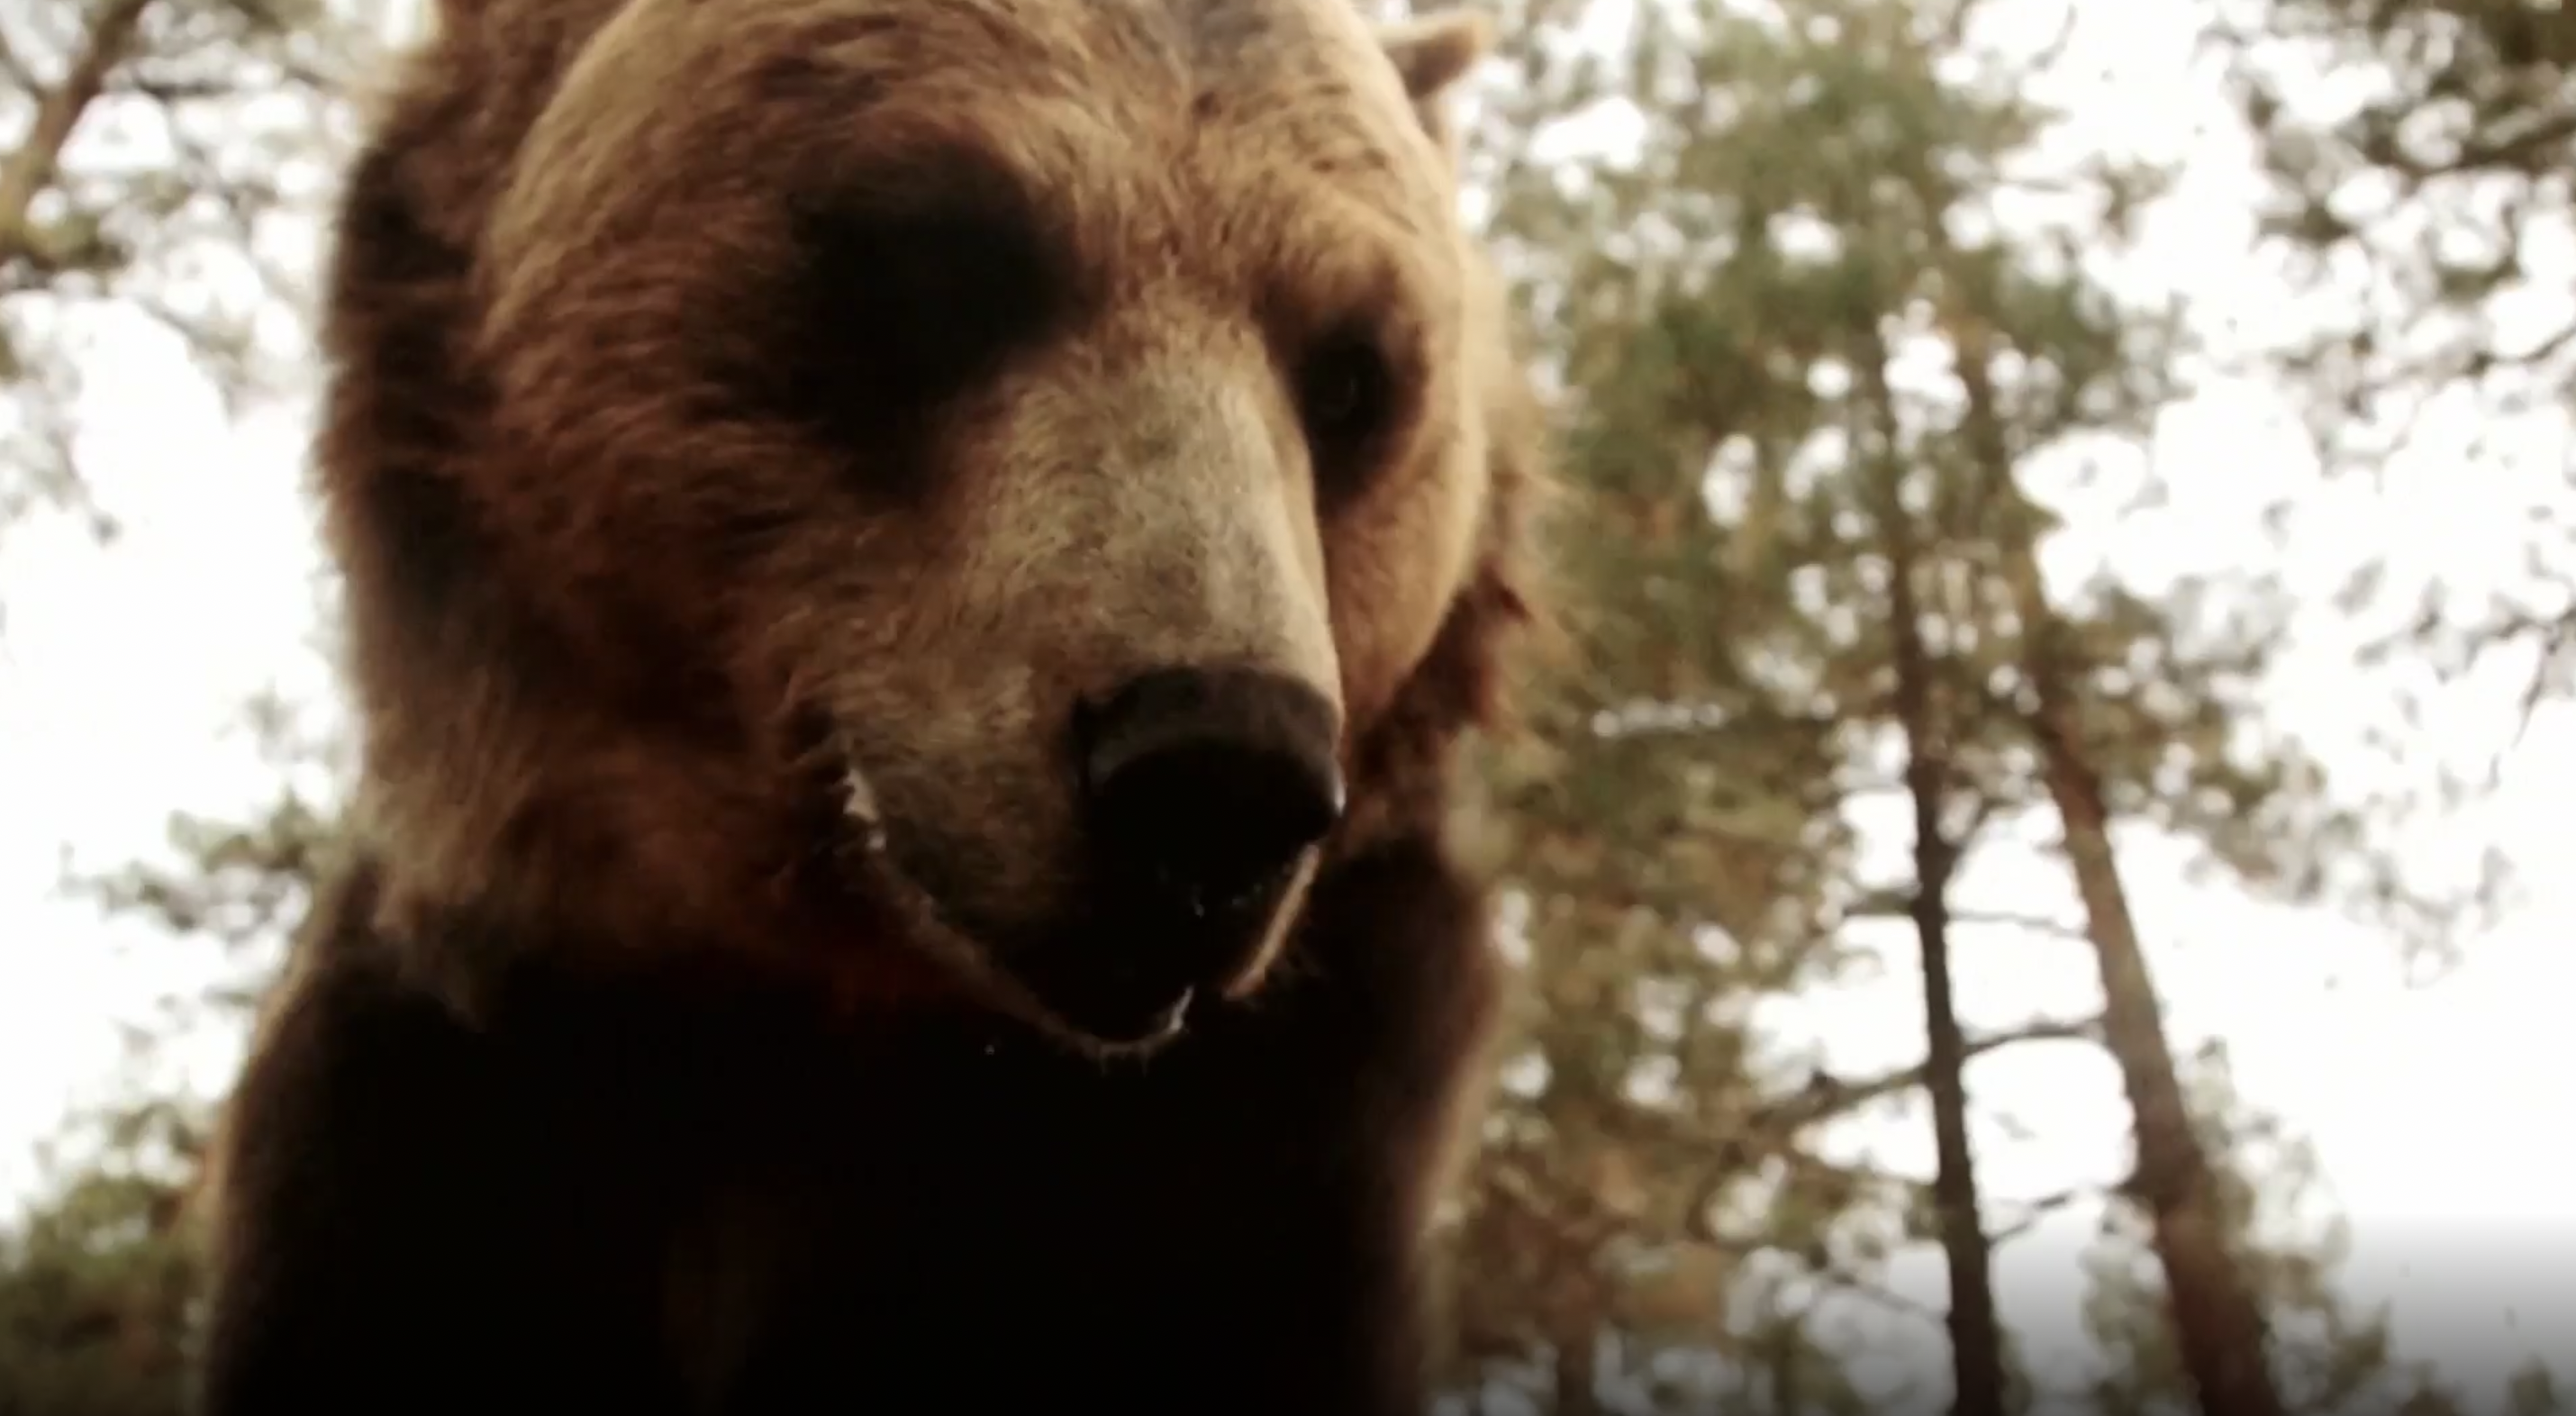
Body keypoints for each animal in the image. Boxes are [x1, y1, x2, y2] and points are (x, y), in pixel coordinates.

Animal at [195, 0, 1549, 1411]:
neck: (849, 1012)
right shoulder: (454, 1106)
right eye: (945, 264)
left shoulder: (1284, 1156)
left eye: (1350, 377)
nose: (1217, 771)